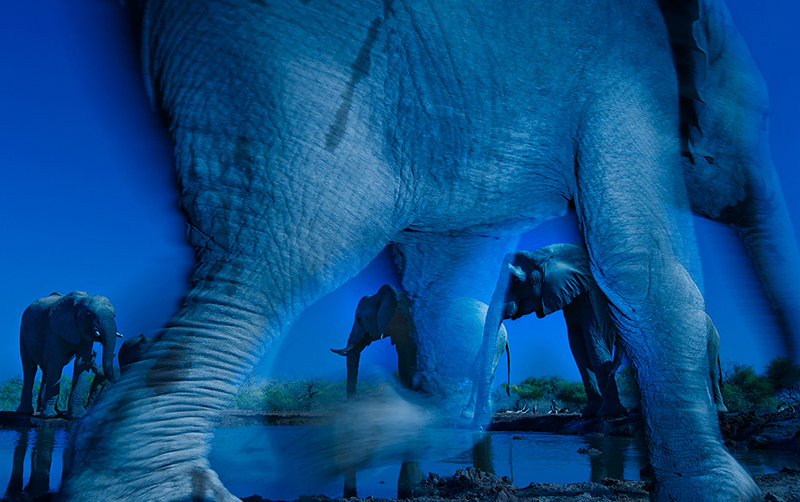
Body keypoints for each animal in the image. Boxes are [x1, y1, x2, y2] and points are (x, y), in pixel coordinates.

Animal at [16, 288, 120, 422]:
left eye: (114, 315)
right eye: (88, 315)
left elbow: (81, 362)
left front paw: (76, 416)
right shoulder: (54, 329)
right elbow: (56, 362)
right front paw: (49, 416)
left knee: (46, 369)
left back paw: (51, 411)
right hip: (23, 335)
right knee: (30, 368)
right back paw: (26, 412)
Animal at [488, 245, 732, 418]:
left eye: (515, 282)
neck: (551, 253)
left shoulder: (596, 296)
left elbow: (594, 340)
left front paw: (610, 413)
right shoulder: (574, 297)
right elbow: (577, 345)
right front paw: (590, 413)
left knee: (708, 368)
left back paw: (716, 411)